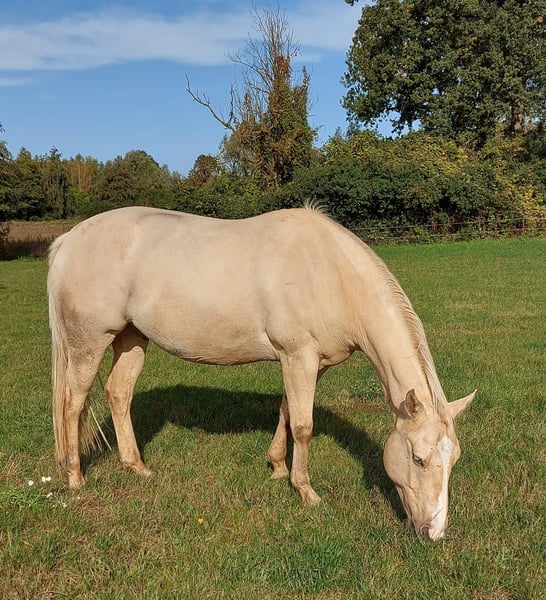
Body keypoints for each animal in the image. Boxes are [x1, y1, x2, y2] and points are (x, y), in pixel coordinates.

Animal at [47, 205, 475, 540]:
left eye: (453, 460)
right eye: (418, 459)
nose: (434, 532)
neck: (330, 273)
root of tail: (68, 240)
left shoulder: (307, 363)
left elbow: (287, 413)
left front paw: (276, 468)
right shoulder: (298, 356)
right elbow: (303, 425)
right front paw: (306, 492)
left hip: (131, 339)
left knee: (119, 394)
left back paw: (137, 467)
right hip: (89, 343)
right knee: (73, 405)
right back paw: (75, 477)